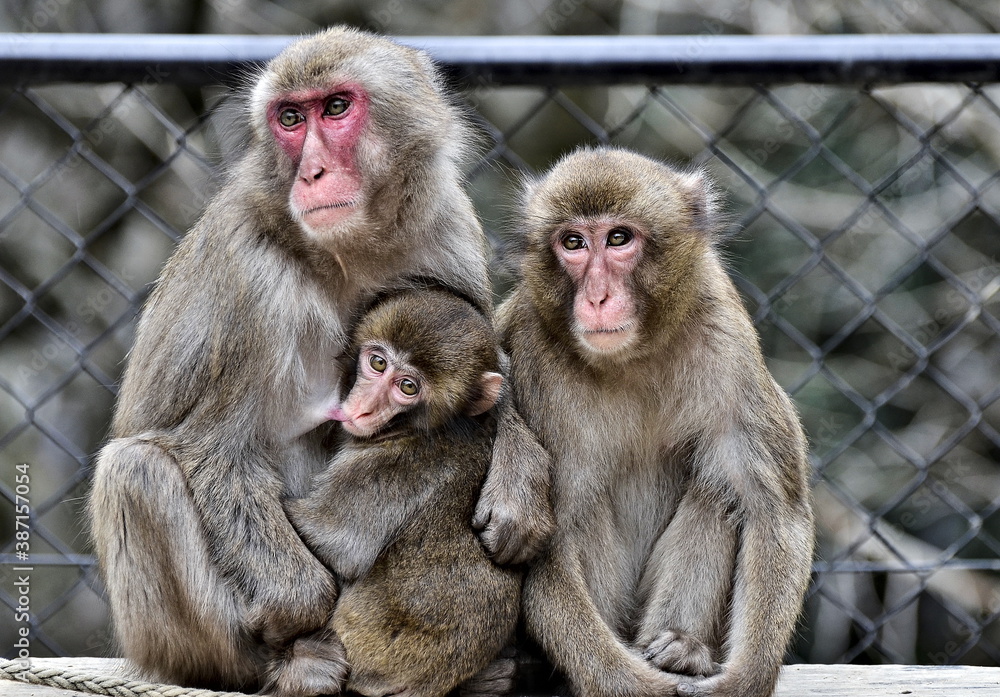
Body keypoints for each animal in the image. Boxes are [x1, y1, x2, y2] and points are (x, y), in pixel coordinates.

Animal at [286, 286, 520, 696]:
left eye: (407, 387)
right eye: (378, 363)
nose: (363, 408)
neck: (426, 427)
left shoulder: (387, 467)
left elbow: (333, 541)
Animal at [496, 147, 816, 696]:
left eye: (618, 238)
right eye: (573, 243)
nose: (597, 297)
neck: (634, 356)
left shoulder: (725, 338)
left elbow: (775, 509)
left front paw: (743, 680)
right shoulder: (535, 352)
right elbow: (555, 536)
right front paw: (627, 683)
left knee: (718, 490)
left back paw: (681, 648)